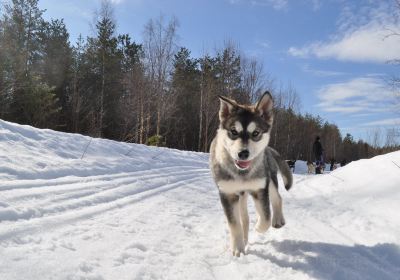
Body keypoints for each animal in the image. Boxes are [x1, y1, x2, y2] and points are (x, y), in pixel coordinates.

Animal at [208, 91, 292, 256]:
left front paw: (259, 227)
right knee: (244, 218)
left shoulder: (259, 189)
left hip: (269, 179)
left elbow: (266, 216)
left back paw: (277, 219)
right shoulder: (227, 193)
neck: (242, 173)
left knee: (277, 198)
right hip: (241, 195)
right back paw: (245, 238)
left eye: (256, 133)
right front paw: (238, 248)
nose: (243, 154)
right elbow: (235, 224)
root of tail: (269, 150)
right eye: (234, 132)